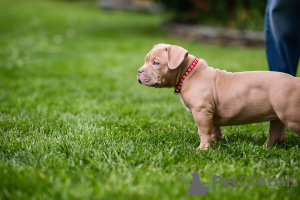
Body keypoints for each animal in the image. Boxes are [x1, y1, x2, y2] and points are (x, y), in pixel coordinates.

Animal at [137, 44, 300, 150]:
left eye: (156, 63)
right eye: (145, 60)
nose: (139, 71)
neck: (189, 73)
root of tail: (296, 81)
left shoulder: (201, 111)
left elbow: (203, 131)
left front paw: (203, 149)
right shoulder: (211, 113)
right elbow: (213, 129)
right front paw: (214, 144)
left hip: (291, 116)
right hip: (278, 116)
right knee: (277, 134)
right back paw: (264, 148)